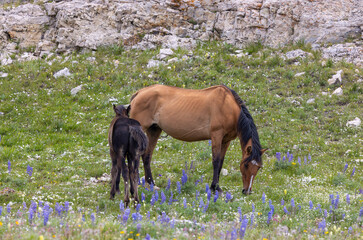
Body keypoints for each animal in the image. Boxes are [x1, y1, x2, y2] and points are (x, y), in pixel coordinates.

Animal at [129, 84, 268, 193]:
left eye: (258, 167)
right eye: (246, 165)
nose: (247, 191)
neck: (229, 107)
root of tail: (139, 93)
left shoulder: (226, 140)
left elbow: (221, 162)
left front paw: (215, 186)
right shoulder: (216, 135)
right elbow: (216, 161)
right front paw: (215, 187)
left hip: (154, 130)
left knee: (147, 156)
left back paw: (151, 184)